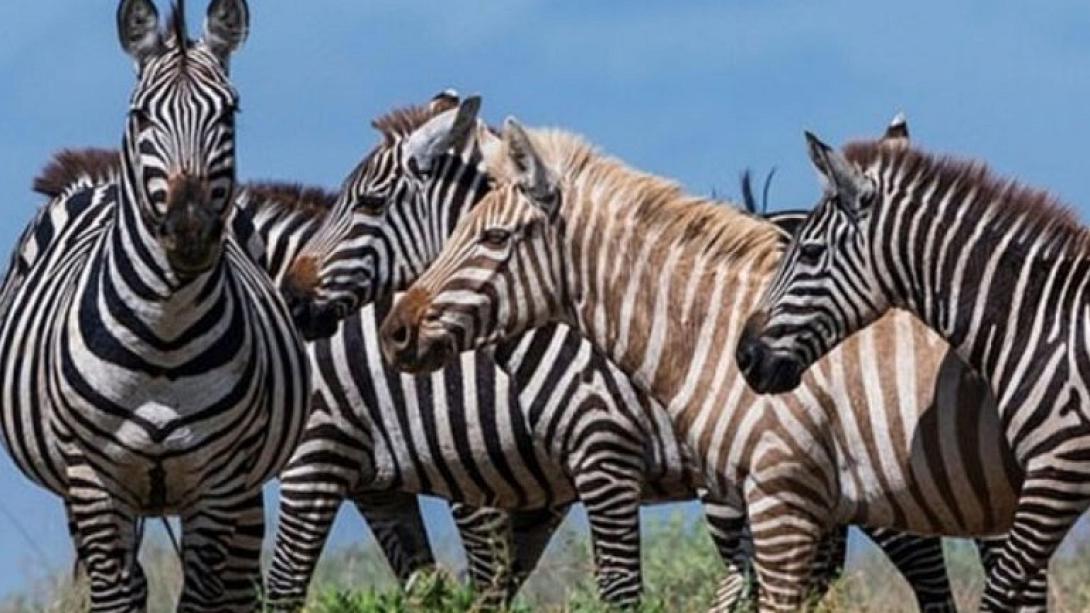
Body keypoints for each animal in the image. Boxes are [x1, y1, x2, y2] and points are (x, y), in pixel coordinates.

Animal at [0, 2, 311, 611]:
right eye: (141, 116)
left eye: (230, 112)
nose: (189, 232)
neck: (164, 335)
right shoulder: (93, 478)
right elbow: (118, 594)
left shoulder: (218, 481)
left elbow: (204, 596)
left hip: (244, 485)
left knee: (239, 584)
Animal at [282, 95, 981, 610]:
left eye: (369, 201)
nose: (292, 294)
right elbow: (489, 587)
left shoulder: (598, 455)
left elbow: (616, 588)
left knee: (927, 560)